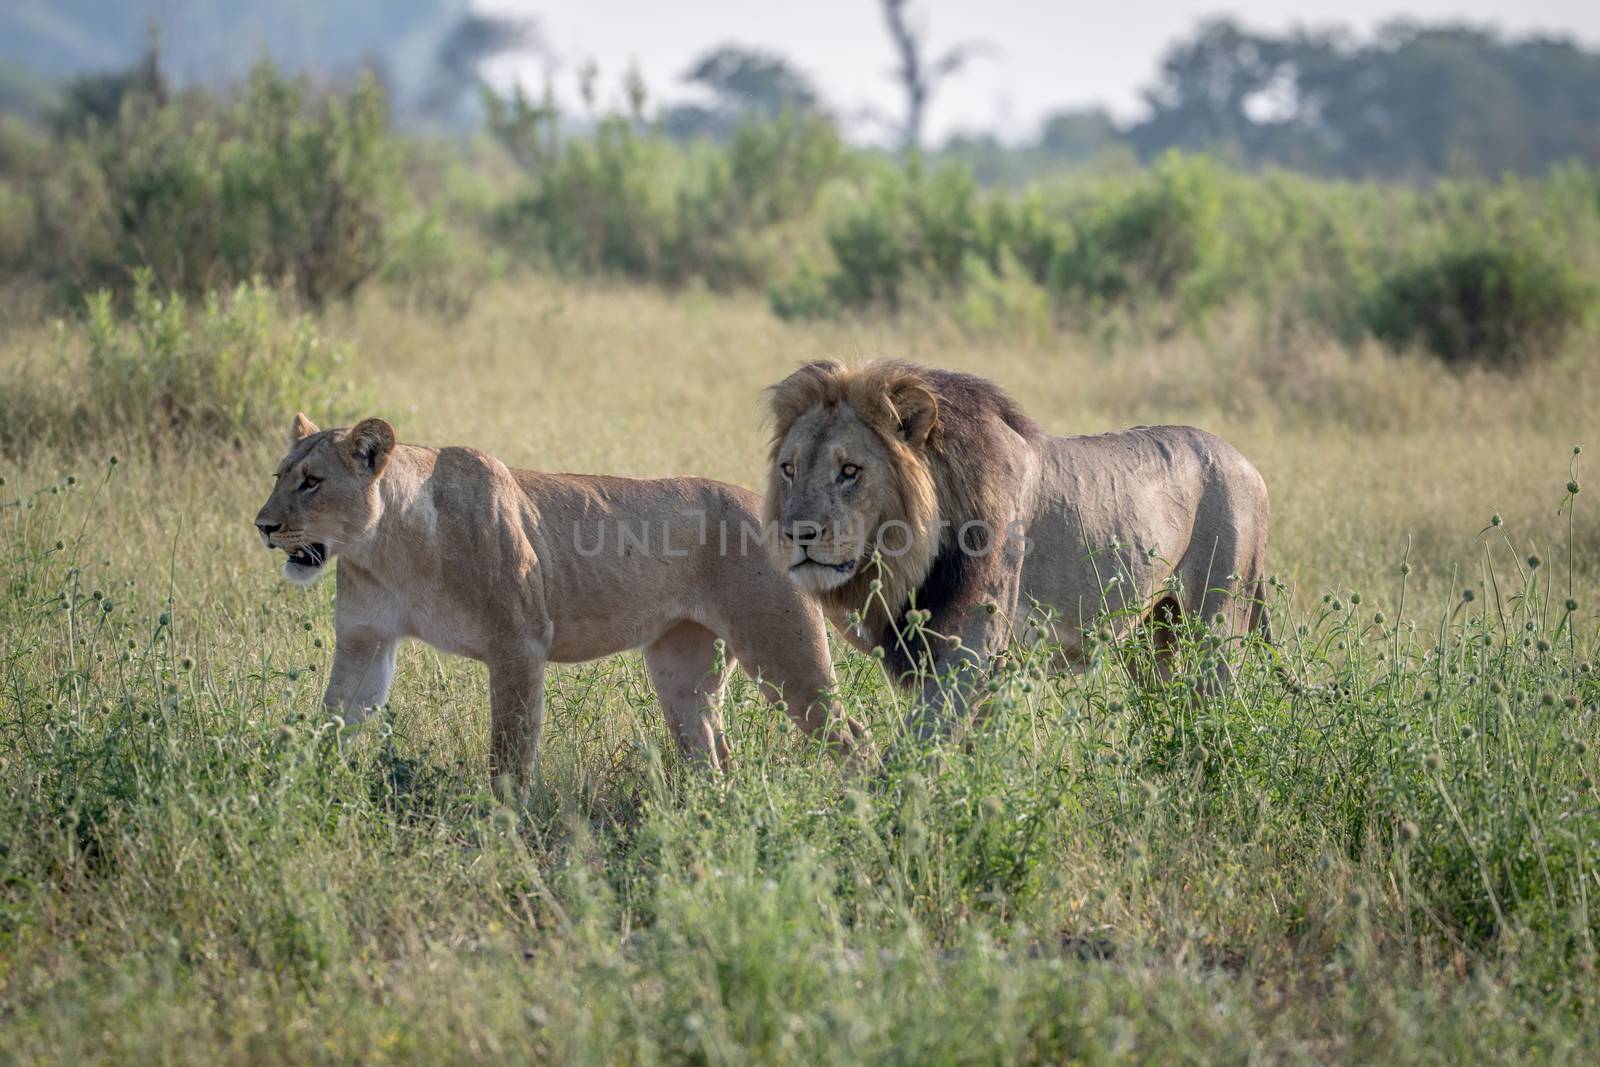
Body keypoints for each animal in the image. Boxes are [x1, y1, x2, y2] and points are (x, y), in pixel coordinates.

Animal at [252, 412, 864, 796]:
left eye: (312, 482)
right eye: (279, 476)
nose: (263, 526)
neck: (385, 547)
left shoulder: (519, 642)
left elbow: (510, 752)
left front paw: (505, 828)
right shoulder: (366, 640)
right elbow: (334, 719)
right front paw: (302, 792)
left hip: (784, 656)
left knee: (852, 735)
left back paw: (864, 815)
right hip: (680, 671)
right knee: (711, 747)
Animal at [764, 358, 1273, 742]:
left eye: (850, 470)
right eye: (789, 469)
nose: (795, 534)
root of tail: (1248, 462)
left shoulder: (971, 652)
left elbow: (912, 755)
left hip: (1218, 622)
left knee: (1216, 705)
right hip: (1152, 637)